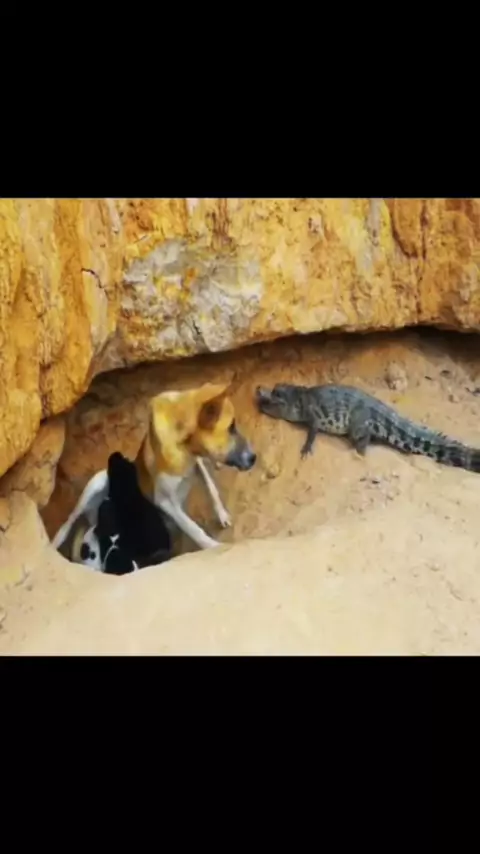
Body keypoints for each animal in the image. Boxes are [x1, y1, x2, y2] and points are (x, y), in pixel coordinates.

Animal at [51, 382, 256, 553]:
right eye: (231, 427)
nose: (254, 458)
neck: (182, 444)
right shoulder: (165, 501)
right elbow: (192, 528)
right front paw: (214, 547)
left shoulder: (197, 464)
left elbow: (211, 488)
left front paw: (222, 515)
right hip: (96, 482)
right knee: (68, 522)